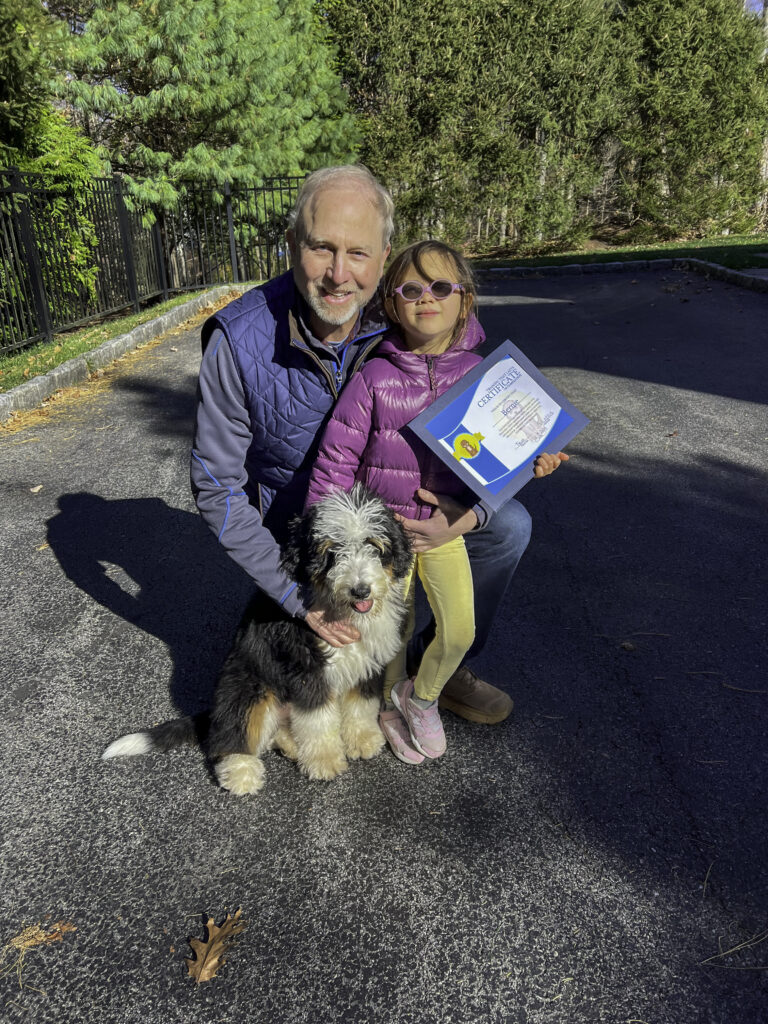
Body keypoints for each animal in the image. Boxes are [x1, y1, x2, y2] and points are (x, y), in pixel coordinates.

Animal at [103, 483, 415, 794]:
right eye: (332, 551)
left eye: (373, 545)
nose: (360, 591)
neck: (341, 610)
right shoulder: (307, 670)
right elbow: (317, 720)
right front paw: (325, 761)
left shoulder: (368, 662)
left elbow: (361, 705)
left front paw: (362, 740)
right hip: (247, 687)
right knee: (231, 736)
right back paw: (242, 772)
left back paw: (291, 747)